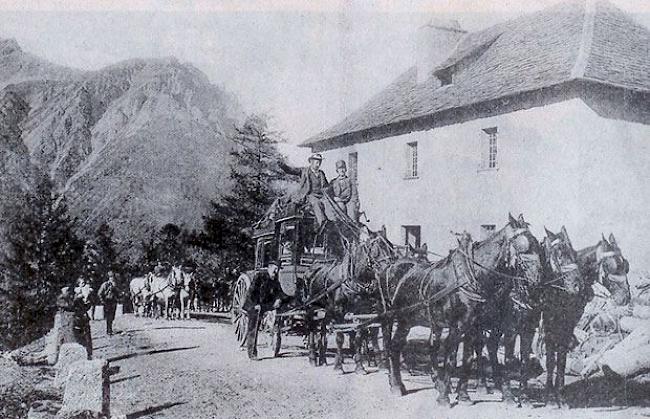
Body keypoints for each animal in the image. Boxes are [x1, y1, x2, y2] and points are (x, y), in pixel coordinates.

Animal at [302, 228, 394, 372]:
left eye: (390, 247)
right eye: (376, 248)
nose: (389, 268)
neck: (351, 280)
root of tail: (311, 268)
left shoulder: (360, 311)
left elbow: (358, 336)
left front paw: (359, 366)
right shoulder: (339, 311)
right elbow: (340, 336)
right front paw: (338, 366)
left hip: (328, 309)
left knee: (323, 327)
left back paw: (322, 358)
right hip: (311, 306)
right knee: (311, 327)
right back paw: (312, 357)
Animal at [380, 215, 540, 406]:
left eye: (538, 244)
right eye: (524, 246)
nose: (537, 280)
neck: (471, 277)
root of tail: (395, 267)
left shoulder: (473, 326)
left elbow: (467, 359)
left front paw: (463, 395)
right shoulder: (459, 326)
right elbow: (450, 358)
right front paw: (444, 397)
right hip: (401, 319)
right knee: (394, 346)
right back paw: (396, 385)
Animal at [540, 231, 628, 406]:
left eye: (626, 265)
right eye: (610, 266)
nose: (625, 297)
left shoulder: (568, 323)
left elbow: (561, 358)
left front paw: (560, 397)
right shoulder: (549, 322)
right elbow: (551, 358)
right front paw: (550, 396)